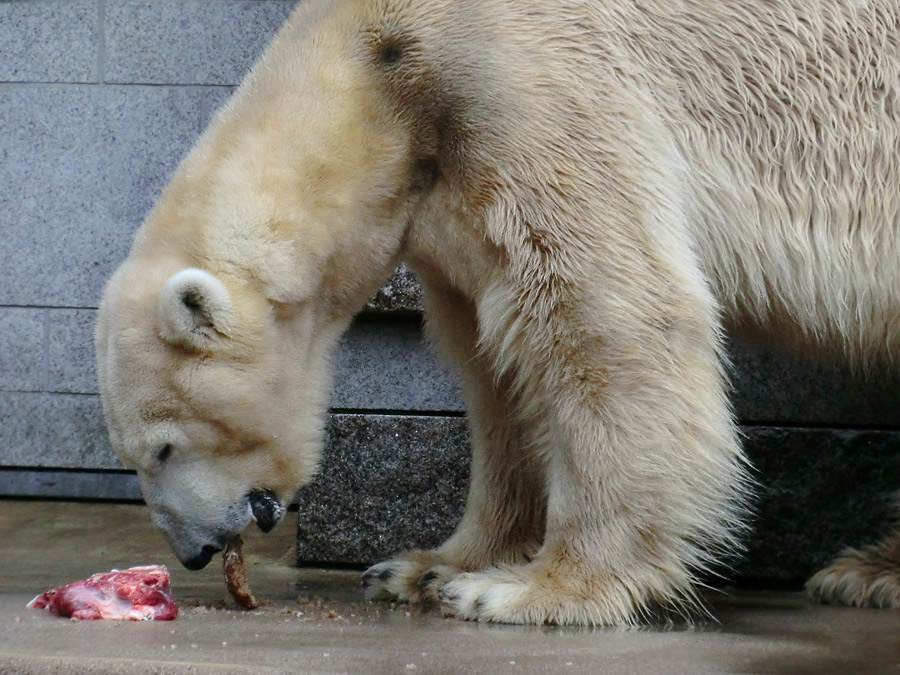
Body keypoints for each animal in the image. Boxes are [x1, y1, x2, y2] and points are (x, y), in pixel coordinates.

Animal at [95, 0, 900, 628]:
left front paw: (533, 588)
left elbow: (605, 314)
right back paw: (868, 570)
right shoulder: (445, 184)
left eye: (162, 447)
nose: (194, 551)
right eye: (135, 455)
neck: (381, 63)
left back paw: (866, 571)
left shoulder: (532, 87)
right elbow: (497, 366)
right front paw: (425, 566)